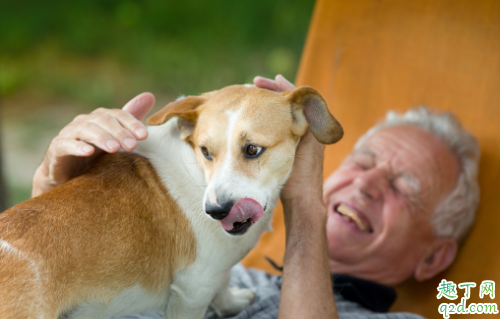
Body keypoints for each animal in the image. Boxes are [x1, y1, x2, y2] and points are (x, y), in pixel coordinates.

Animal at [0, 85, 344, 319]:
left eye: (252, 150)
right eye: (205, 151)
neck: (195, 172)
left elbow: (223, 280)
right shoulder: (192, 291)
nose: (215, 211)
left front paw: (229, 303)